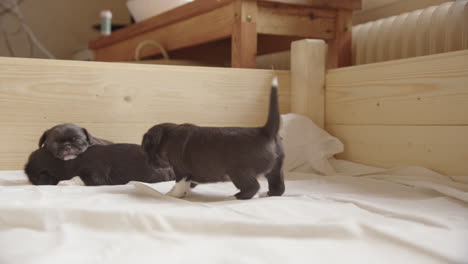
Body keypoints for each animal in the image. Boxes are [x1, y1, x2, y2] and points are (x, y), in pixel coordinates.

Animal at [141, 77, 284, 200]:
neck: (167, 137)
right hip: (275, 170)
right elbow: (187, 184)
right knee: (279, 188)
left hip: (238, 172)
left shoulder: (181, 171)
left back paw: (233, 197)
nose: (148, 163)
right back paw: (267, 194)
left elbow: (179, 184)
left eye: (146, 150)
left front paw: (172, 195)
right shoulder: (191, 174)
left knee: (252, 187)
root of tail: (265, 130)